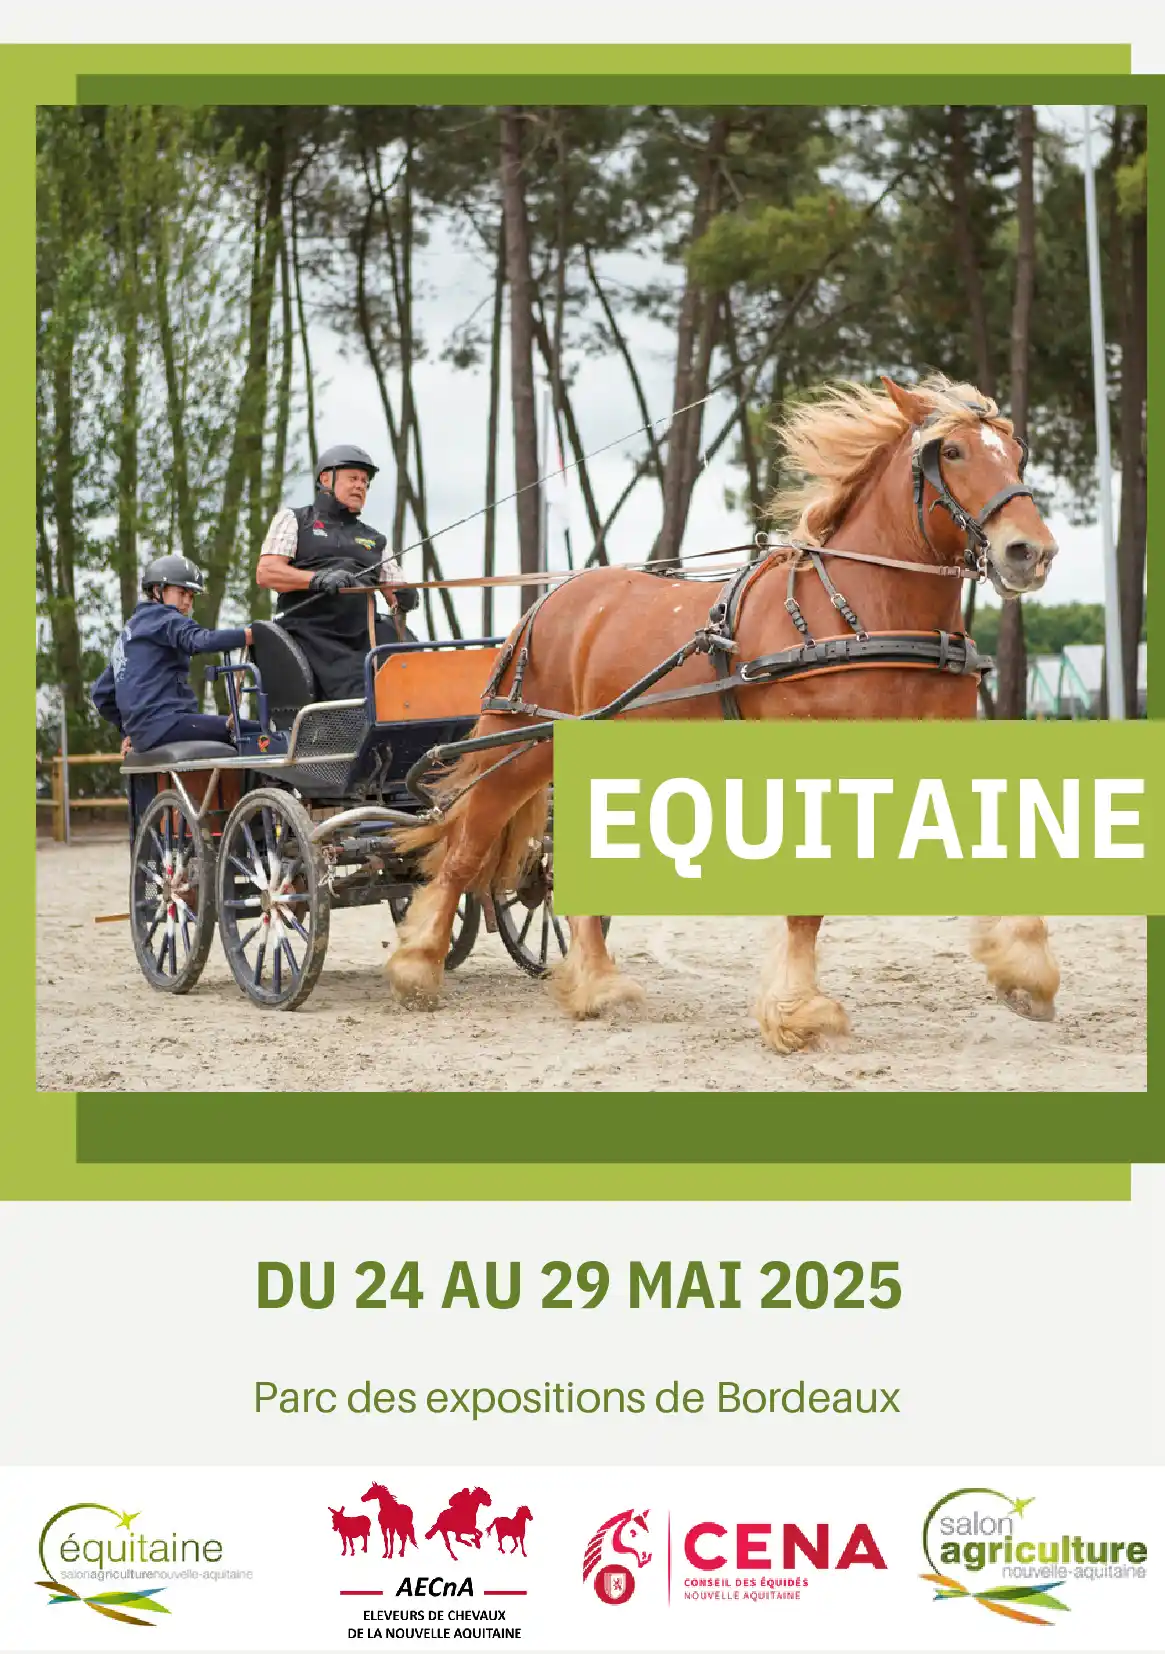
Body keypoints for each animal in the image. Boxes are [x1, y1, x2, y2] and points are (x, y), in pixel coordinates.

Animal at [387, 375, 1062, 1051]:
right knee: (466, 844)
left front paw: (1027, 973)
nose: (1031, 552)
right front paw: (796, 1012)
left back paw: (596, 985)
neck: (867, 613)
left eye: (1017, 453)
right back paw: (418, 967)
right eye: (951, 452)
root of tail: (551, 597)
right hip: (519, 747)